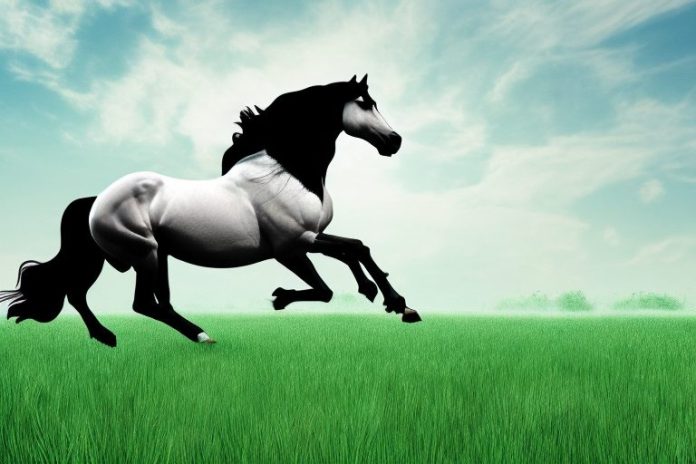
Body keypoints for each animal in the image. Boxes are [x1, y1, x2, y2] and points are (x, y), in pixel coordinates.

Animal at [0, 75, 421, 347]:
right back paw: (191, 335)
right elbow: (328, 285)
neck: (288, 170)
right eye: (365, 103)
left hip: (149, 255)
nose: (394, 141)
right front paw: (280, 298)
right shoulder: (291, 246)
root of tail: (95, 200)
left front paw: (396, 303)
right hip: (142, 253)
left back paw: (121, 336)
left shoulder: (310, 237)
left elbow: (356, 247)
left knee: (112, 297)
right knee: (137, 302)